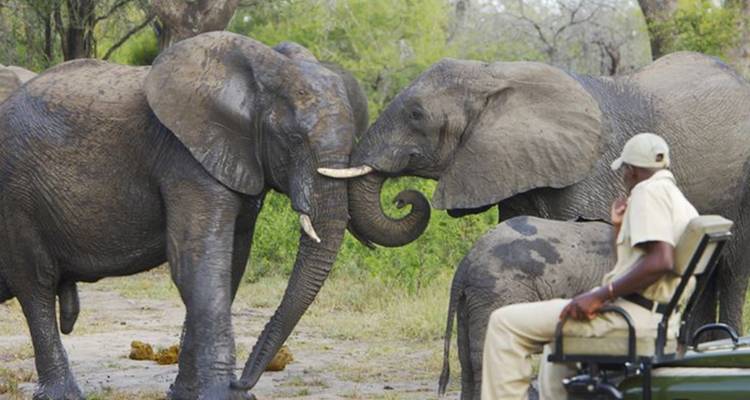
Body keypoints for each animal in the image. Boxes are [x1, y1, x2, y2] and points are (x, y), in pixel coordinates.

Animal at [0, 32, 368, 400]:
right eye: (292, 138)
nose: (243, 381)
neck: (260, 71)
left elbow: (230, 266)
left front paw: (189, 393)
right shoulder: (185, 160)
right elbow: (197, 266)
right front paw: (222, 394)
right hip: (17, 194)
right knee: (36, 282)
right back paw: (63, 393)